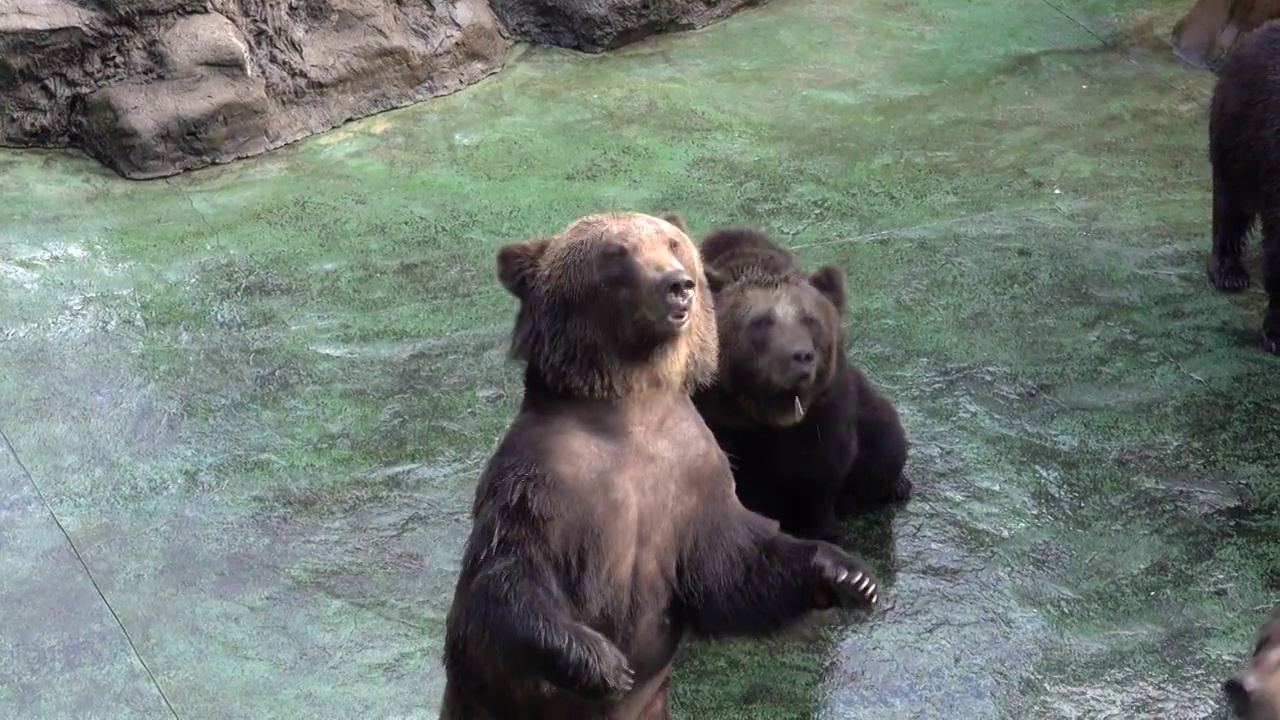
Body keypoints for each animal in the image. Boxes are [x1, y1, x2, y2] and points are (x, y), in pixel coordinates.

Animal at [440, 208, 880, 717]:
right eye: (616, 252)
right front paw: (603, 663)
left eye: (672, 244)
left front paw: (849, 574)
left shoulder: (695, 472)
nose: (677, 285)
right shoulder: (541, 478)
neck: (631, 412)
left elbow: (730, 565)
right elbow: (507, 575)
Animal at [680, 221, 911, 545]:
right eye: (761, 321)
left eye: (810, 319)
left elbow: (822, 467)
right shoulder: (716, 415)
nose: (801, 356)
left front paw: (826, 531)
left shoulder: (823, 407)